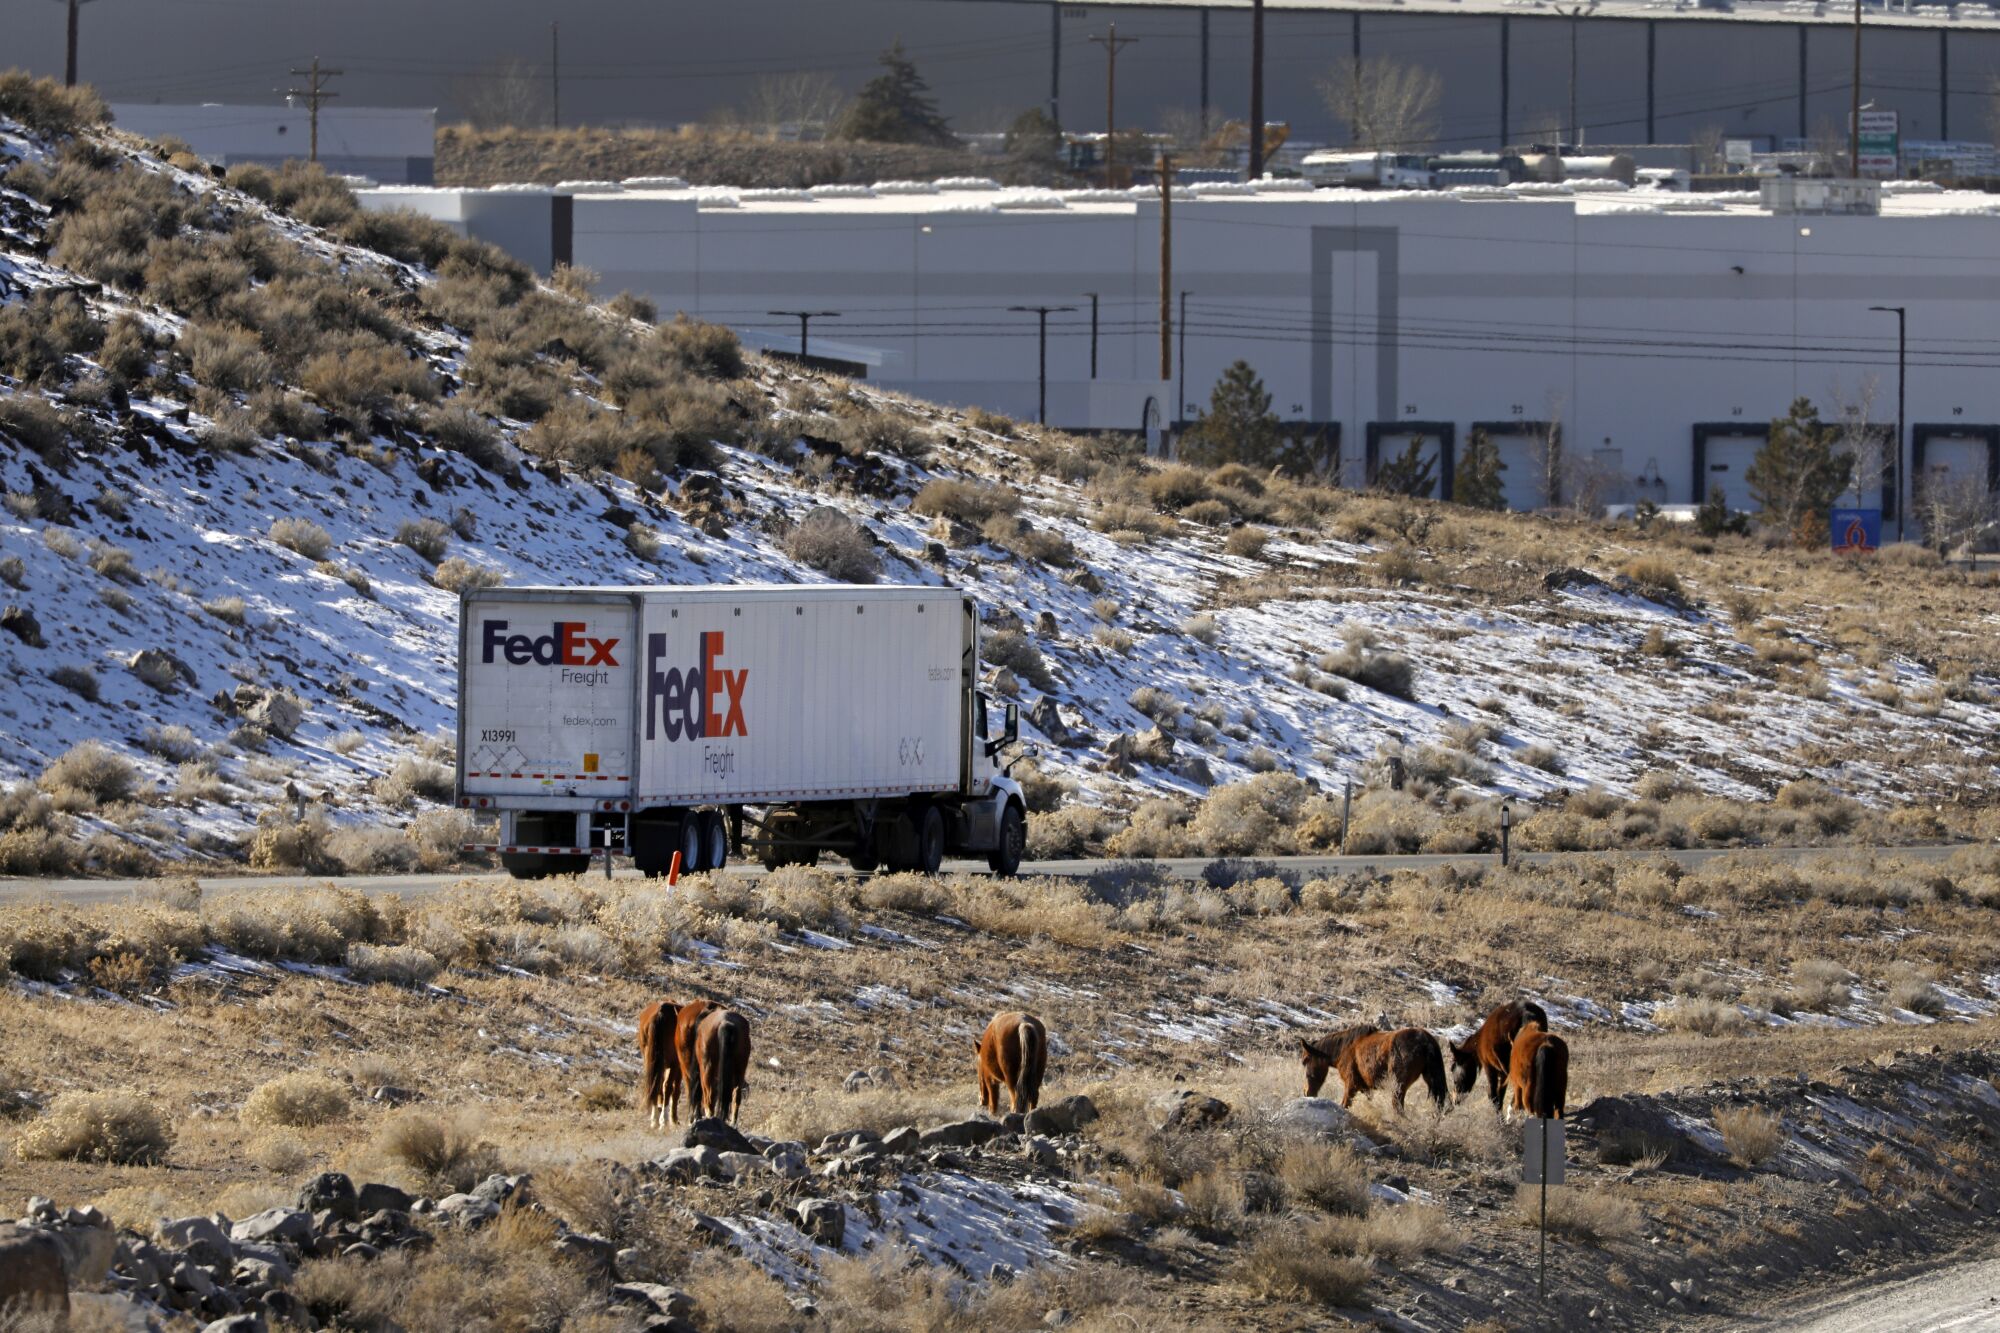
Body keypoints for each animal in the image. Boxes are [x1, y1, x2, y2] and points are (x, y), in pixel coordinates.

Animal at [1304, 1016, 1448, 1112]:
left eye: (1305, 1060)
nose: (1306, 1092)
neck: (1345, 1048)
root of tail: (1425, 1041)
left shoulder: (1351, 1085)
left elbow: (1345, 1105)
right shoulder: (1366, 1088)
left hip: (1398, 1087)